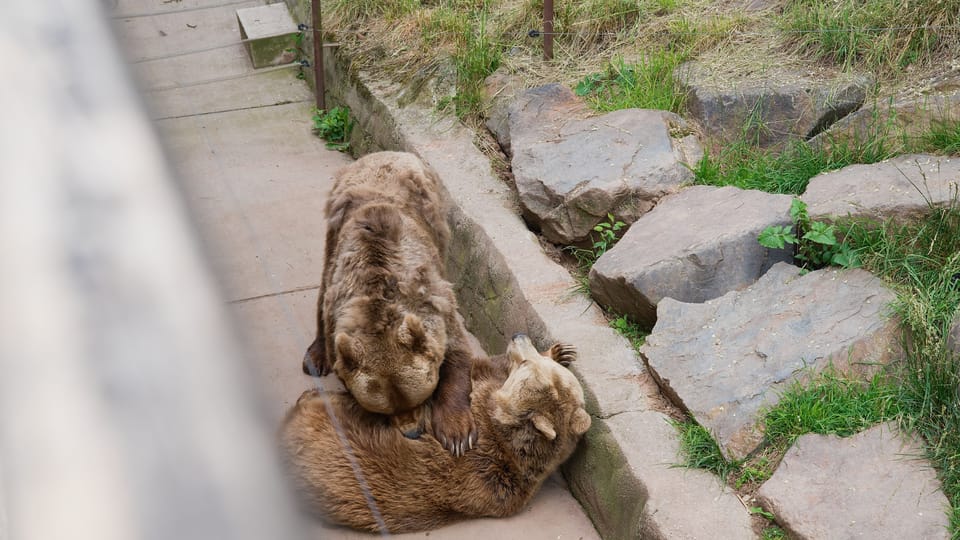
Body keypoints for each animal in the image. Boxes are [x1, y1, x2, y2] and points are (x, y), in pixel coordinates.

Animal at [302, 151, 475, 454]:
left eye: (421, 398)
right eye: (384, 410)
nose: (413, 432)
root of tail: (387, 153)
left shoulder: (435, 301)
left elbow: (457, 350)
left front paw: (457, 434)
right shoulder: (339, 300)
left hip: (435, 217)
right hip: (334, 224)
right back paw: (315, 355)